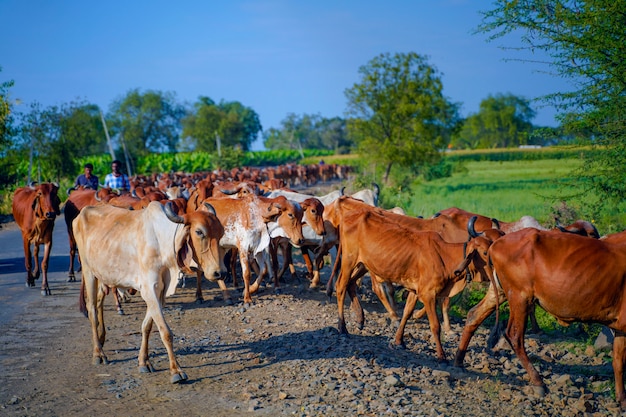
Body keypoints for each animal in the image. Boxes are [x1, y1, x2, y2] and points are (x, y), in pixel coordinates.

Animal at [450, 228, 624, 406]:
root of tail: (496, 244)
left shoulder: (621, 329)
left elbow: (618, 361)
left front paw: (621, 398)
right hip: (520, 297)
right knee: (514, 335)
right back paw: (538, 382)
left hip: (500, 290)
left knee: (474, 315)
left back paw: (458, 364)